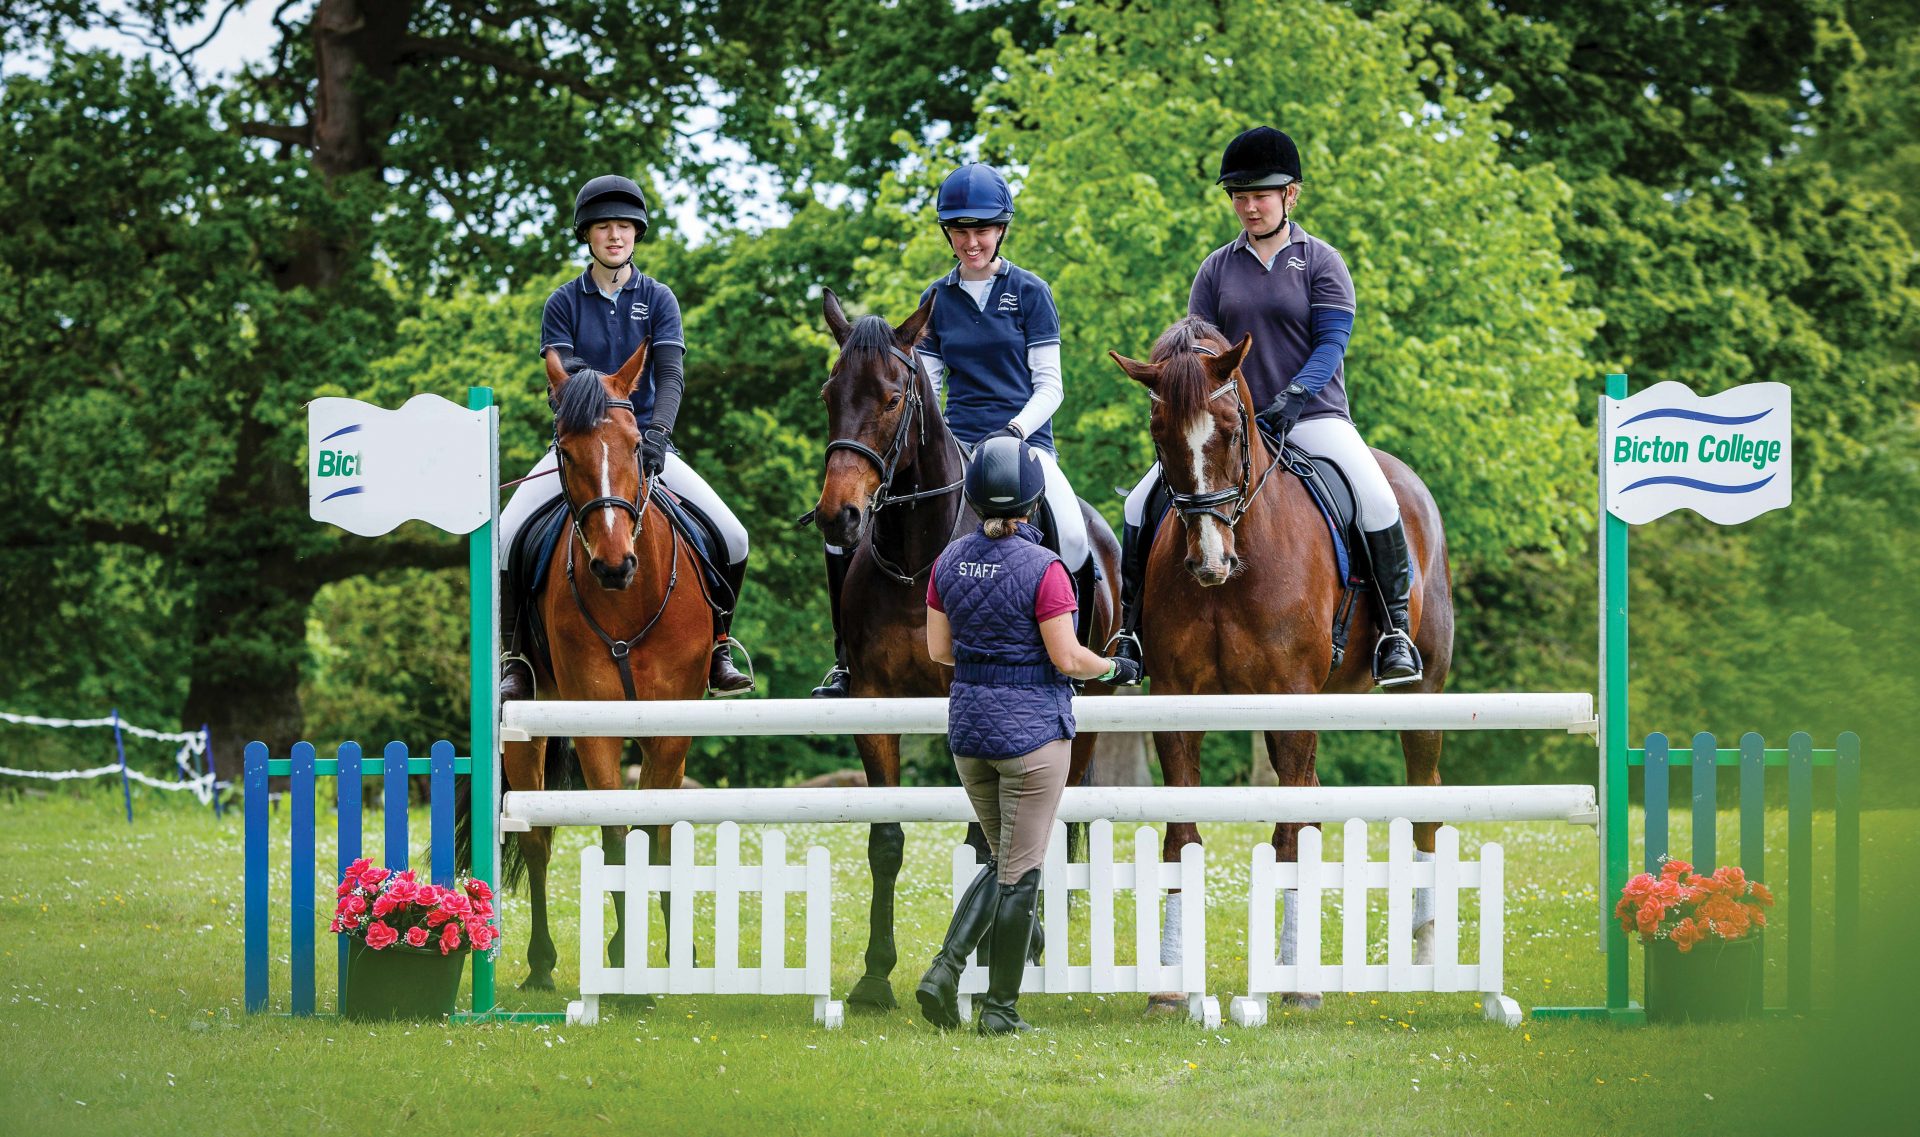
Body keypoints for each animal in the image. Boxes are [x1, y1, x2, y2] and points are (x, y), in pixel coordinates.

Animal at [503, 341, 721, 991]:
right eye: (566, 452)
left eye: (633, 444)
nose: (613, 564)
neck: (631, 600)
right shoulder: (594, 725)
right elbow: (616, 835)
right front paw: (626, 965)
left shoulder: (670, 727)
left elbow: (653, 833)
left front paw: (667, 958)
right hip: (529, 728)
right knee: (536, 839)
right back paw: (541, 966)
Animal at [810, 290, 1121, 1014]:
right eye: (830, 392)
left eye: (893, 397)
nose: (840, 517)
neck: (915, 552)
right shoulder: (876, 703)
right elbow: (887, 840)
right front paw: (875, 976)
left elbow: (988, 836)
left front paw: (984, 961)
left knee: (1053, 819)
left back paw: (1036, 941)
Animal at [1113, 316, 1451, 1006]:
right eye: (1159, 434)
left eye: (1233, 427)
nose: (1209, 561)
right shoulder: (1177, 701)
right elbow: (1182, 835)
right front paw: (1170, 985)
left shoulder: (1292, 697)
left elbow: (1288, 837)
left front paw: (1295, 985)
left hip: (1420, 693)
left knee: (1423, 801)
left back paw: (1424, 956)